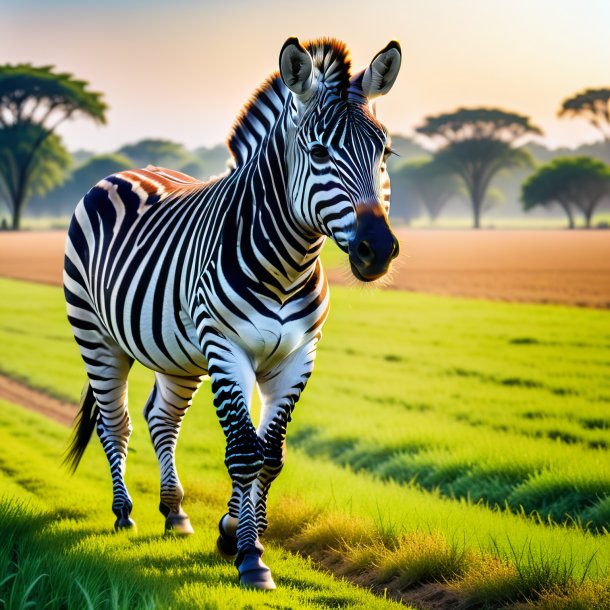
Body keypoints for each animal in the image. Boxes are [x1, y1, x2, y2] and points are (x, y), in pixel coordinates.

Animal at [64, 35, 402, 588]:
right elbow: (245, 451)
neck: (287, 264)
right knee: (115, 423)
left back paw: (175, 512)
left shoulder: (298, 356)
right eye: (318, 152)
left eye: (385, 151)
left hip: (176, 354)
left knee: (161, 419)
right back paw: (124, 513)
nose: (378, 250)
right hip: (97, 337)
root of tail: (124, 171)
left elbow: (271, 455)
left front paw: (236, 531)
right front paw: (249, 556)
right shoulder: (227, 348)